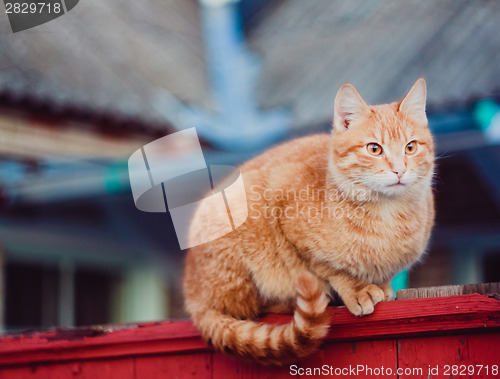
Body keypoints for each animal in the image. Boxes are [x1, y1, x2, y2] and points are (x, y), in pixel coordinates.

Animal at [184, 78, 434, 366]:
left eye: (410, 147)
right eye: (374, 149)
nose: (399, 170)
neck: (386, 214)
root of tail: (192, 293)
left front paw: (381, 285)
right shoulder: (291, 227)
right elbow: (328, 268)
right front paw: (357, 288)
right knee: (247, 307)